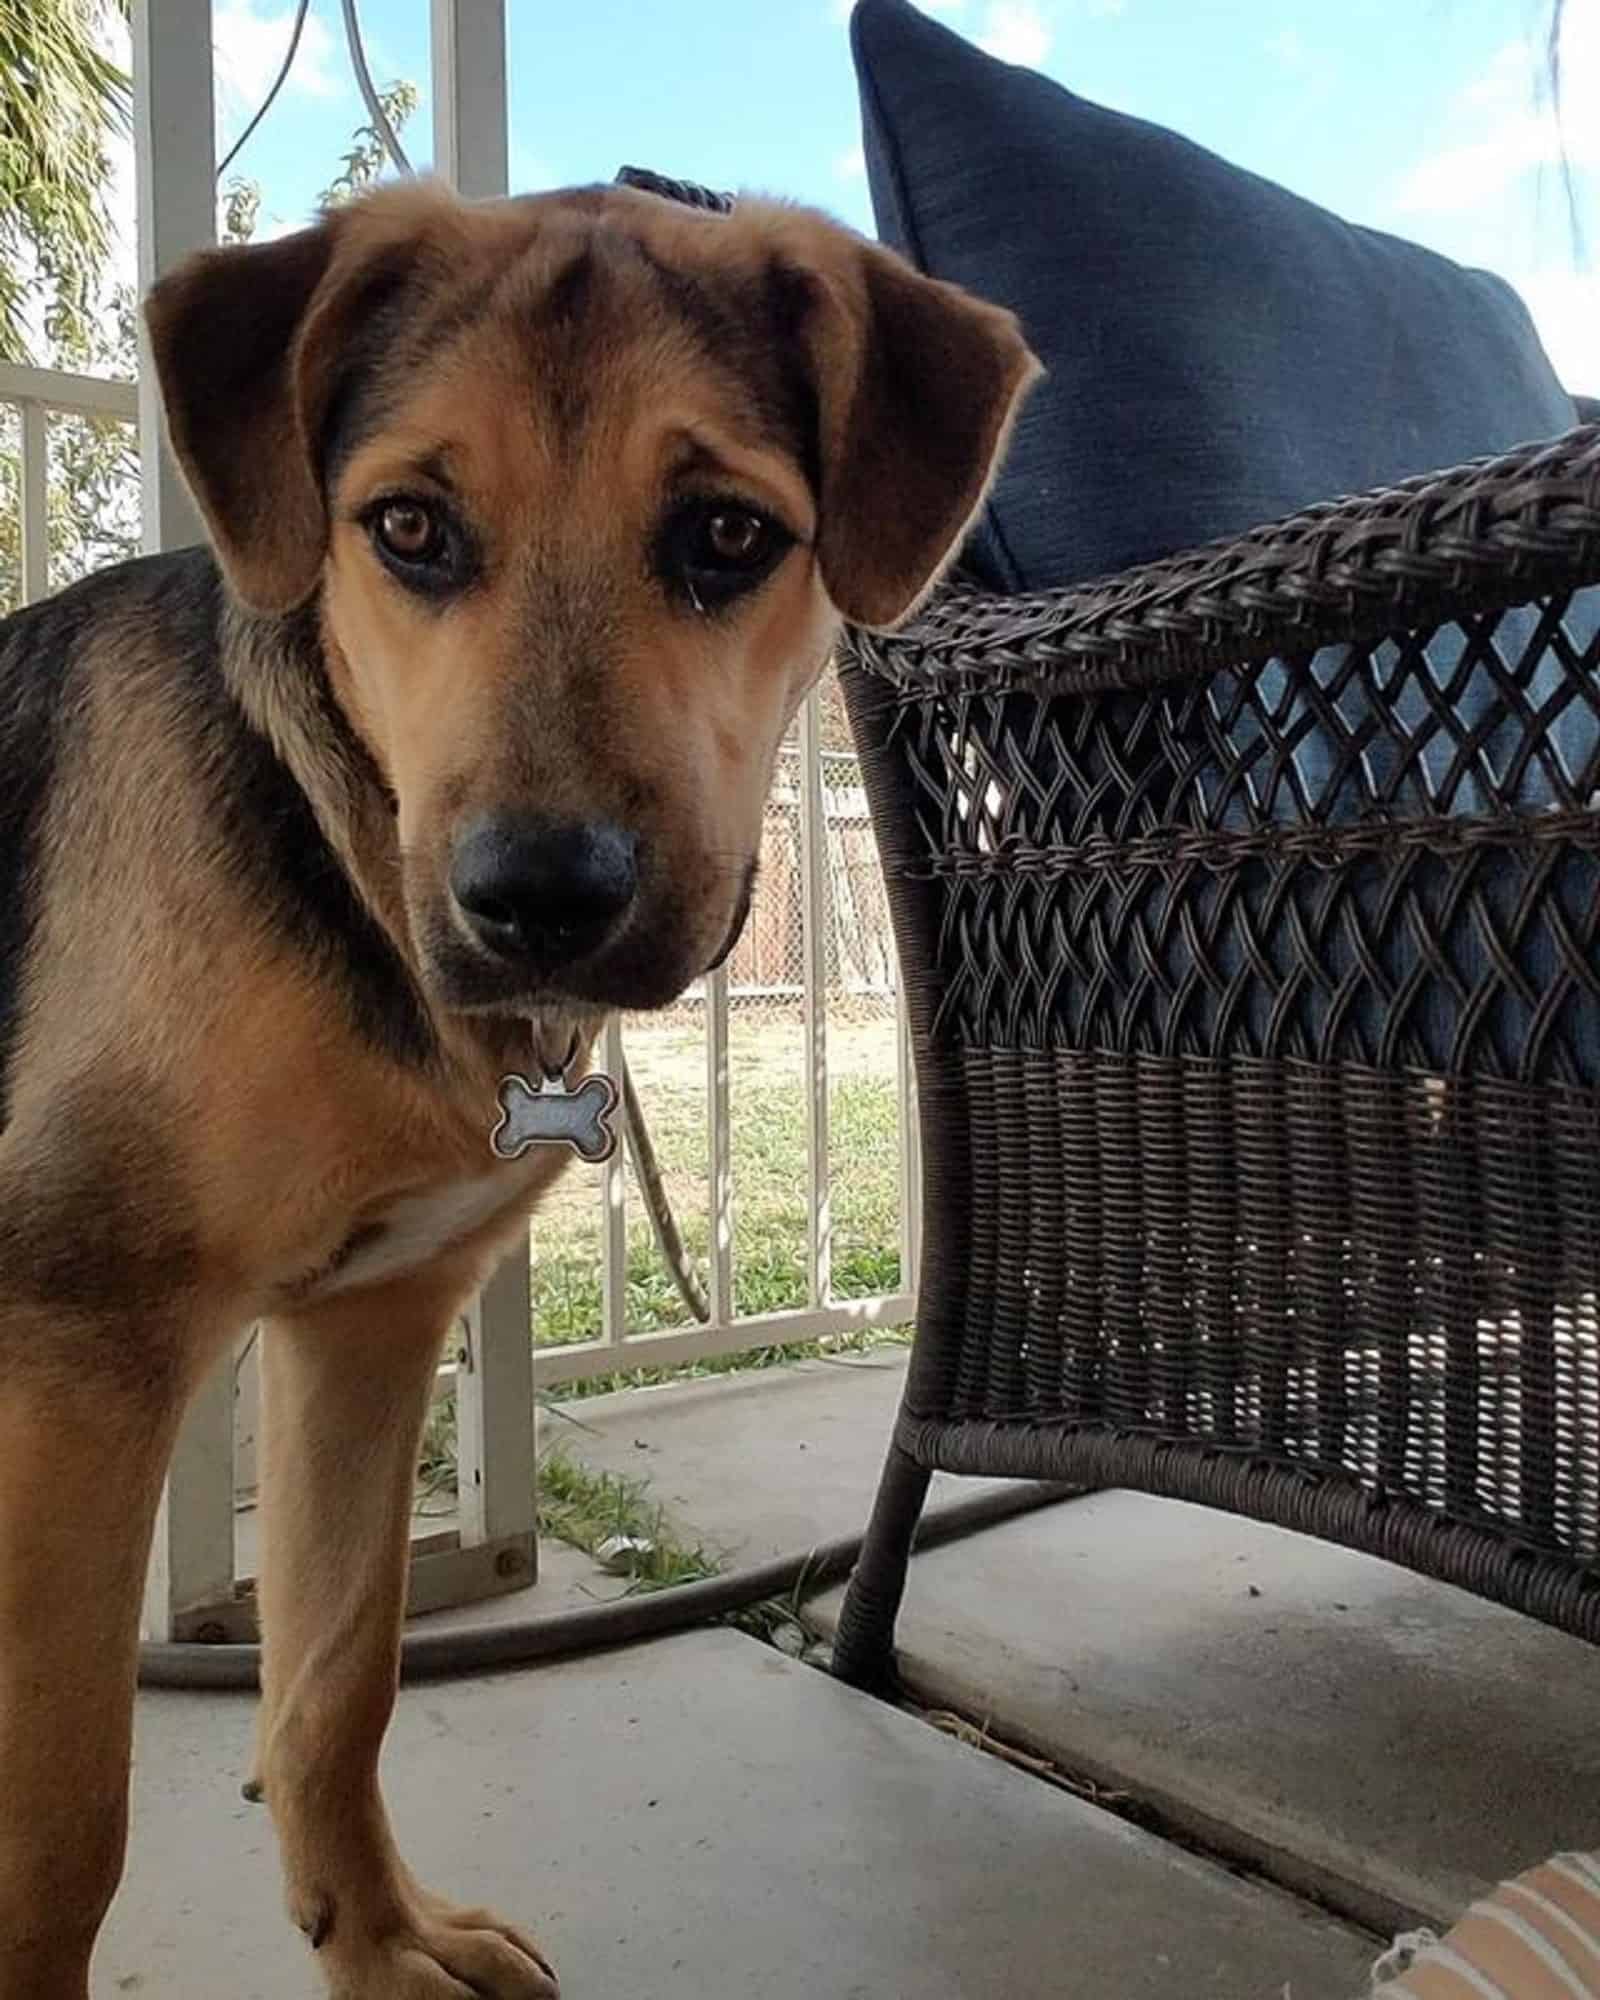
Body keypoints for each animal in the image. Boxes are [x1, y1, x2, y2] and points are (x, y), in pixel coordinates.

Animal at [0, 180, 1040, 1992]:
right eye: (409, 527)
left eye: (727, 537)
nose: (538, 904)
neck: (329, 837)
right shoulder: (77, 1356)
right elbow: (65, 1827)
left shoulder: (369, 1322)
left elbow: (336, 1682)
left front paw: (374, 1943)